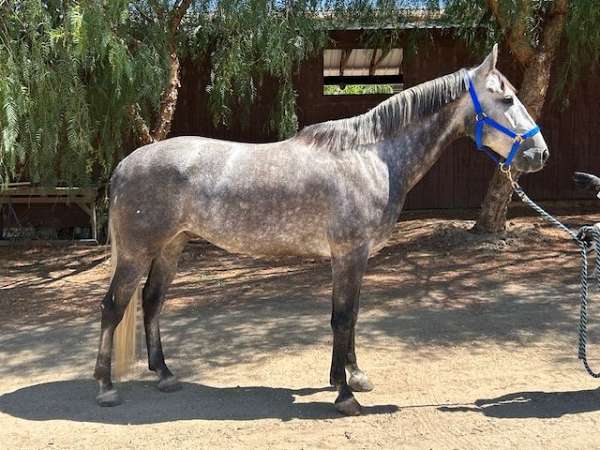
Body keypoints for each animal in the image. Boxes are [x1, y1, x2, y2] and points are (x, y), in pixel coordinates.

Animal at [92, 44, 548, 414]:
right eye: (506, 97)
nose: (539, 154)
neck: (372, 157)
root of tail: (124, 164)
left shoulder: (355, 258)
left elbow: (352, 315)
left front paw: (353, 375)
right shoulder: (349, 254)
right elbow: (342, 317)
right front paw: (344, 395)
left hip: (171, 246)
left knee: (152, 301)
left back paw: (165, 375)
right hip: (136, 252)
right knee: (114, 307)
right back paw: (106, 388)